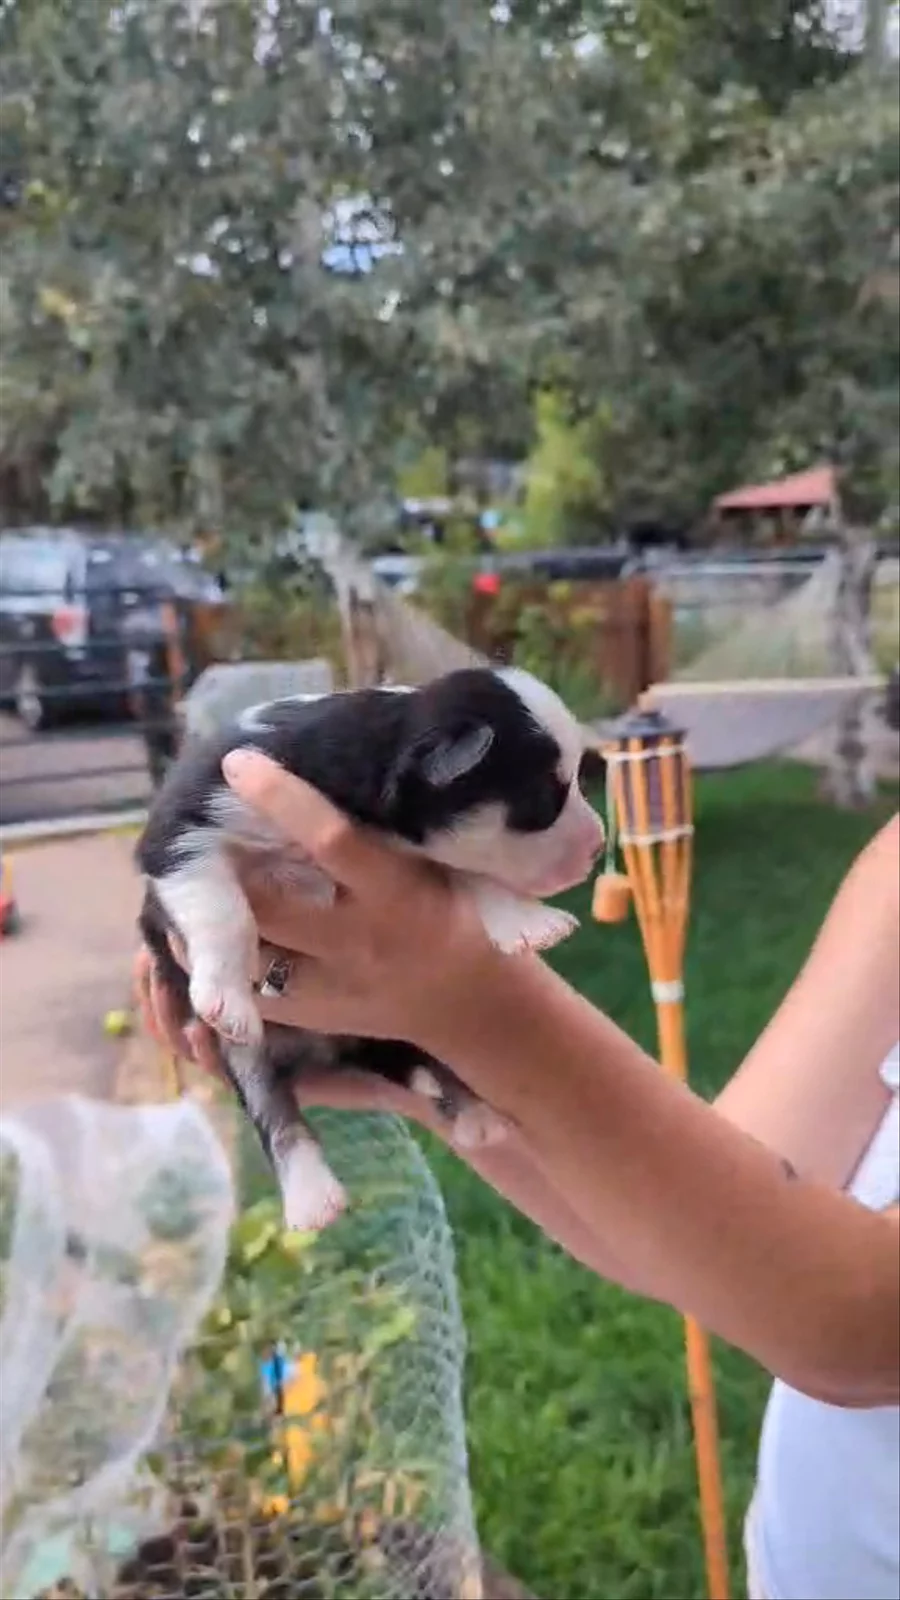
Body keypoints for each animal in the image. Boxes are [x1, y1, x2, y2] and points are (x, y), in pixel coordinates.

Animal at [137, 667, 605, 1232]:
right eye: (542, 799)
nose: (600, 846)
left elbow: (475, 873)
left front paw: (530, 924)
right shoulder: (186, 823)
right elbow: (222, 908)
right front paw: (226, 997)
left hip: (416, 1022)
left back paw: (474, 1116)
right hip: (248, 1058)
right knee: (275, 1113)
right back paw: (313, 1199)